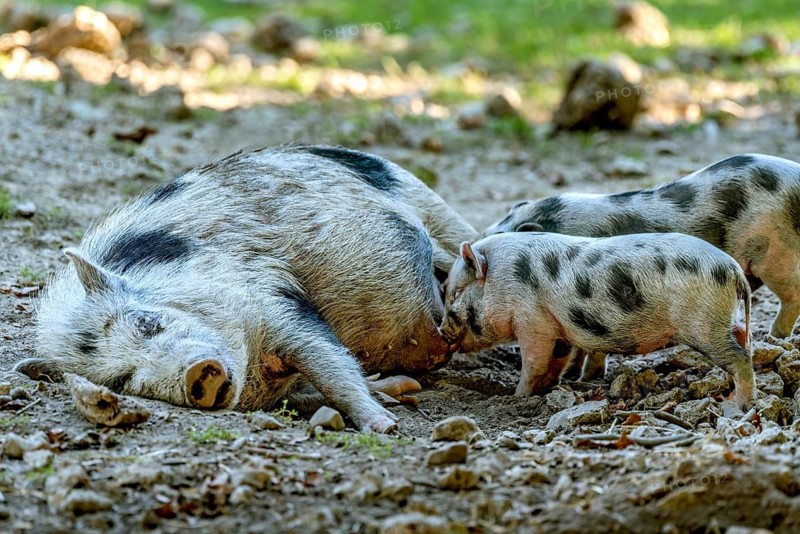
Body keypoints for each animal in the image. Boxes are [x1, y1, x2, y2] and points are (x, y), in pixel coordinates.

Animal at [14, 145, 478, 432]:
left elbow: (329, 363)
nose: (197, 375)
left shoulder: (268, 296)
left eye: (147, 323)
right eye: (121, 380)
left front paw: (386, 426)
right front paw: (397, 396)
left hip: (435, 211)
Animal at [439, 232, 756, 409]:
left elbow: (533, 363)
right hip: (722, 320)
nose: (441, 330)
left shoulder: (532, 322)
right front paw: (552, 387)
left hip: (705, 326)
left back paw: (738, 405)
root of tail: (734, 271)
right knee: (743, 336)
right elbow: (557, 360)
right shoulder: (557, 326)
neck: (500, 282)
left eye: (456, 293)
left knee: (739, 358)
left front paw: (517, 396)